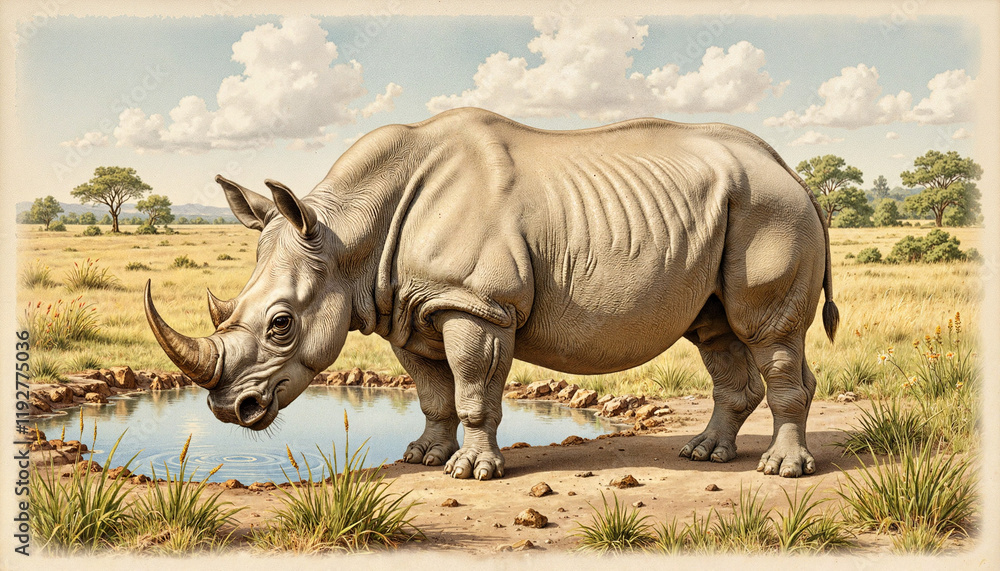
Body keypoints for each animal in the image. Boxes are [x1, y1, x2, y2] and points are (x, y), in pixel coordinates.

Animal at [145, 107, 838, 480]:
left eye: (281, 324)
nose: (229, 410)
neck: (346, 237)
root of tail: (792, 171)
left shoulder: (476, 302)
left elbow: (474, 386)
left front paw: (472, 471)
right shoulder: (407, 305)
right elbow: (432, 390)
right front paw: (423, 456)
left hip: (769, 211)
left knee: (768, 331)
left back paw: (779, 472)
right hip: (738, 209)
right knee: (717, 330)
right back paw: (706, 455)